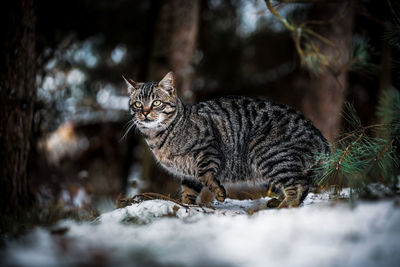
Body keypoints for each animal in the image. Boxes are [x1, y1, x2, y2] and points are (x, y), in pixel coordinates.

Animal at [123, 72, 330, 208]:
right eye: (138, 104)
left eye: (156, 102)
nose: (145, 113)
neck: (158, 138)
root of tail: (317, 132)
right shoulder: (188, 173)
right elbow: (188, 190)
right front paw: (189, 206)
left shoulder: (208, 149)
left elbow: (206, 174)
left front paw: (219, 193)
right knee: (301, 185)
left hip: (268, 154)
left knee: (299, 184)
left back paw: (285, 205)